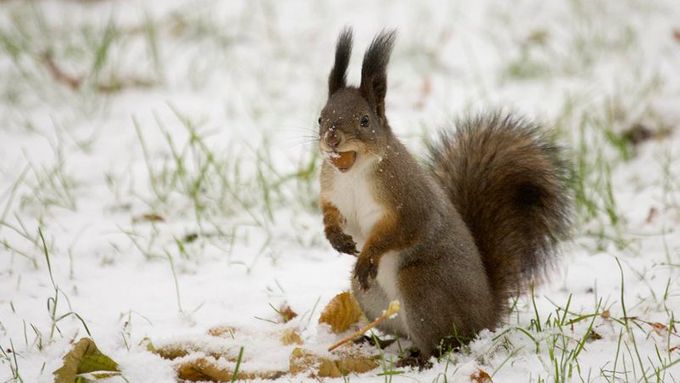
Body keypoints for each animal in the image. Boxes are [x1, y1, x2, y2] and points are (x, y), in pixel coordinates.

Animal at [316, 28, 572, 362]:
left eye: (364, 121)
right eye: (321, 118)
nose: (332, 138)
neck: (354, 173)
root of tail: (486, 316)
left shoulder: (408, 198)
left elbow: (404, 229)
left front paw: (368, 256)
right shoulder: (332, 191)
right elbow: (330, 214)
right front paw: (336, 238)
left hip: (421, 286)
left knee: (442, 344)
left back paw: (418, 359)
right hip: (370, 296)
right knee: (403, 332)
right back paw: (375, 342)